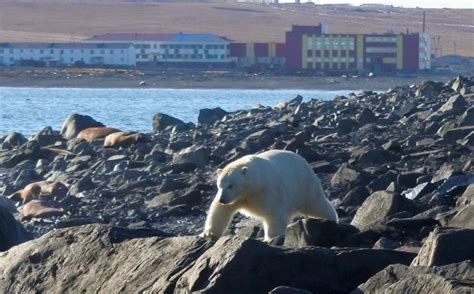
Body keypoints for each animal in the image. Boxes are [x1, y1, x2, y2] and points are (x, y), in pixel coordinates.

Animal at [202, 149, 338, 241]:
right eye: (219, 185)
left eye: (231, 185)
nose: (222, 199)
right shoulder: (237, 197)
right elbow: (220, 211)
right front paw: (209, 233)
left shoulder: (267, 191)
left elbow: (274, 214)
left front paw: (271, 238)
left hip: (304, 185)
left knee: (316, 204)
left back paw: (331, 219)